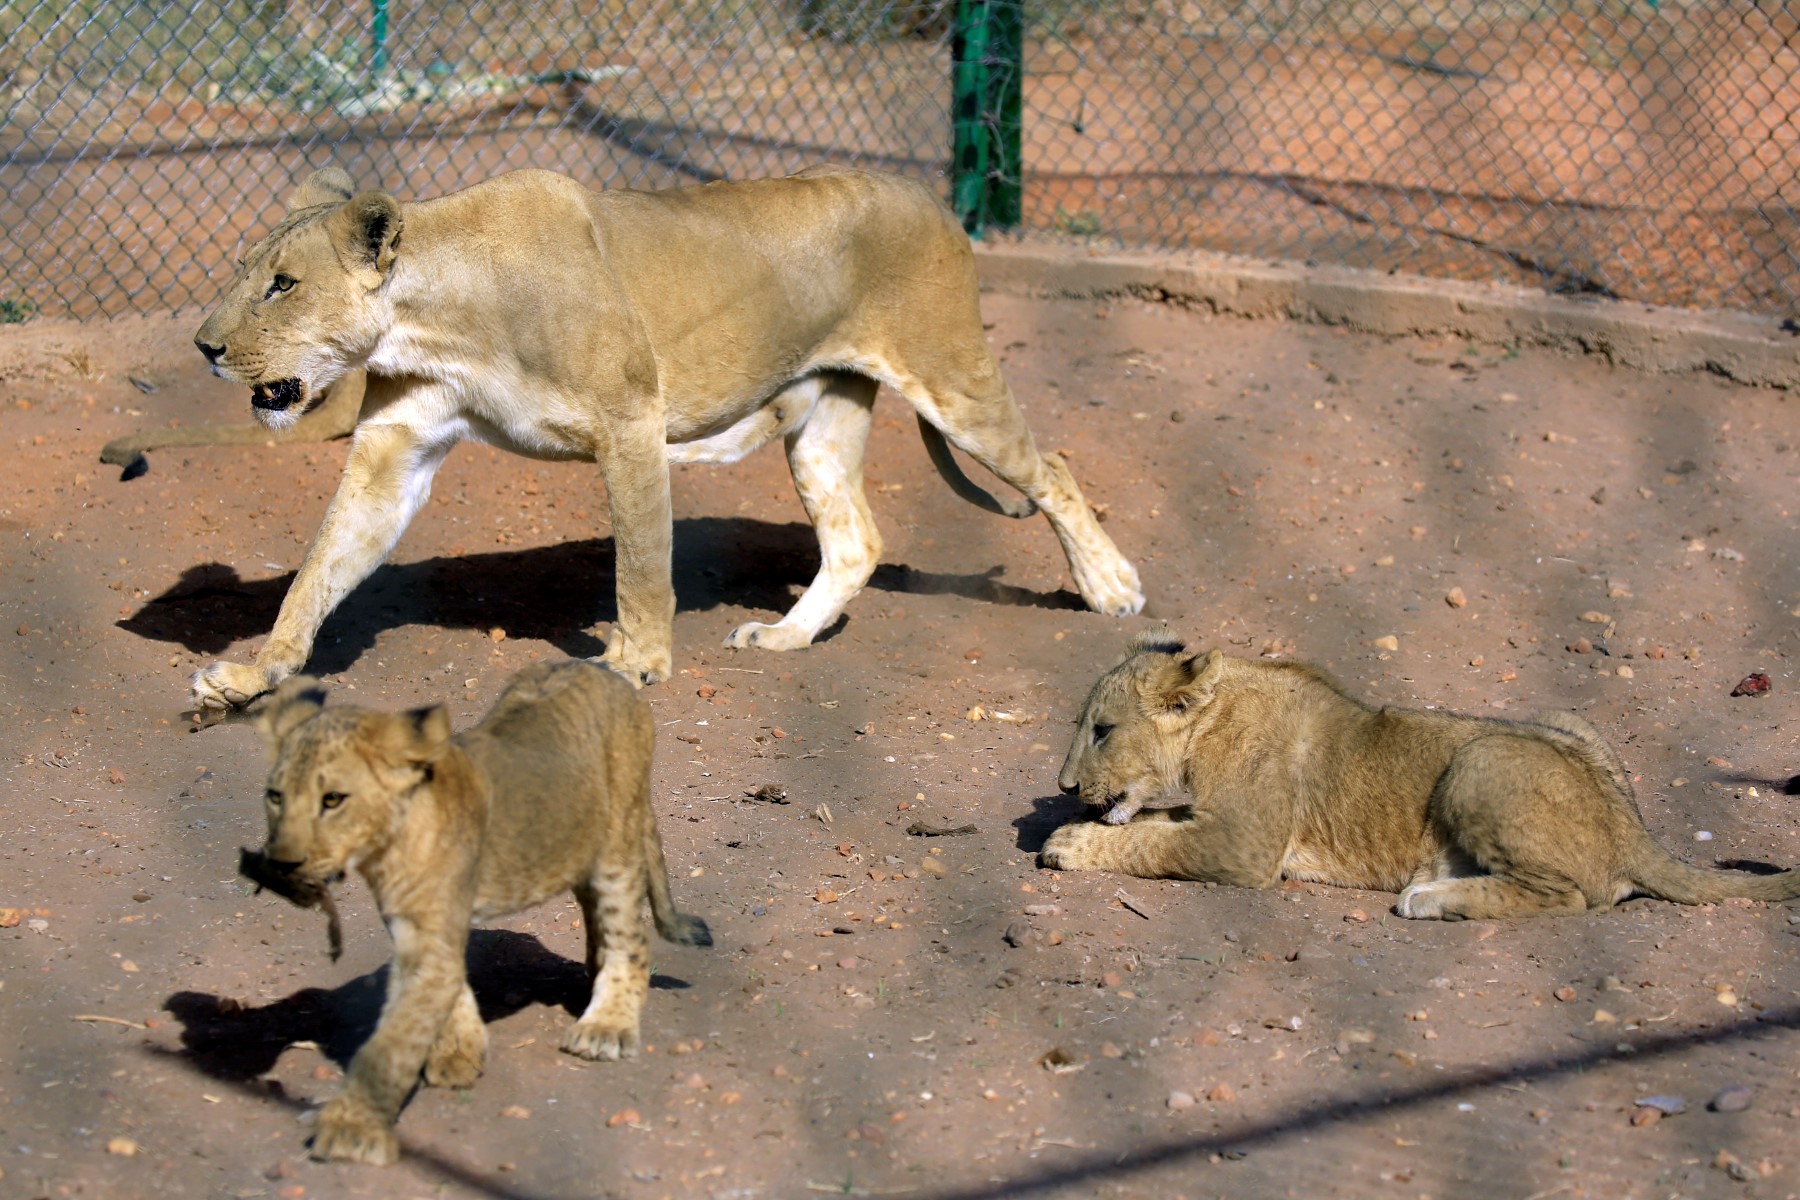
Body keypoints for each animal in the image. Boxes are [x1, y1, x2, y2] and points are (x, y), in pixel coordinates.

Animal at [186, 164, 1143, 711]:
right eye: (247, 275)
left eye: (282, 284)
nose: (203, 347)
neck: (434, 317)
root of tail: (937, 202)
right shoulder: (396, 449)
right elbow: (318, 569)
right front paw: (252, 676)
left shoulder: (631, 422)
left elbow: (641, 565)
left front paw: (638, 663)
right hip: (823, 418)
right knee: (856, 540)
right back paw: (787, 636)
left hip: (951, 376)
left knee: (1052, 467)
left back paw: (1111, 587)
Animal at [241, 659, 711, 1165]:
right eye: (275, 796)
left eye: (333, 799)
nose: (282, 863)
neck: (386, 845)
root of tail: (604, 671)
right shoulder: (417, 927)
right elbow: (447, 995)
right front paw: (458, 1052)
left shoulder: (430, 938)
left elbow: (392, 1042)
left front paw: (351, 1128)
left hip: (618, 841)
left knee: (630, 941)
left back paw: (606, 1025)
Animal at [1042, 631, 1800, 919]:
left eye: (1102, 730)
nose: (1063, 787)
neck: (1214, 719)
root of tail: (1630, 828)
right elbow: (1156, 821)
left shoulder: (1243, 847)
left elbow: (1152, 840)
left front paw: (1068, 843)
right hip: (1565, 723)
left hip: (1480, 761)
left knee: (1565, 898)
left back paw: (1429, 896)